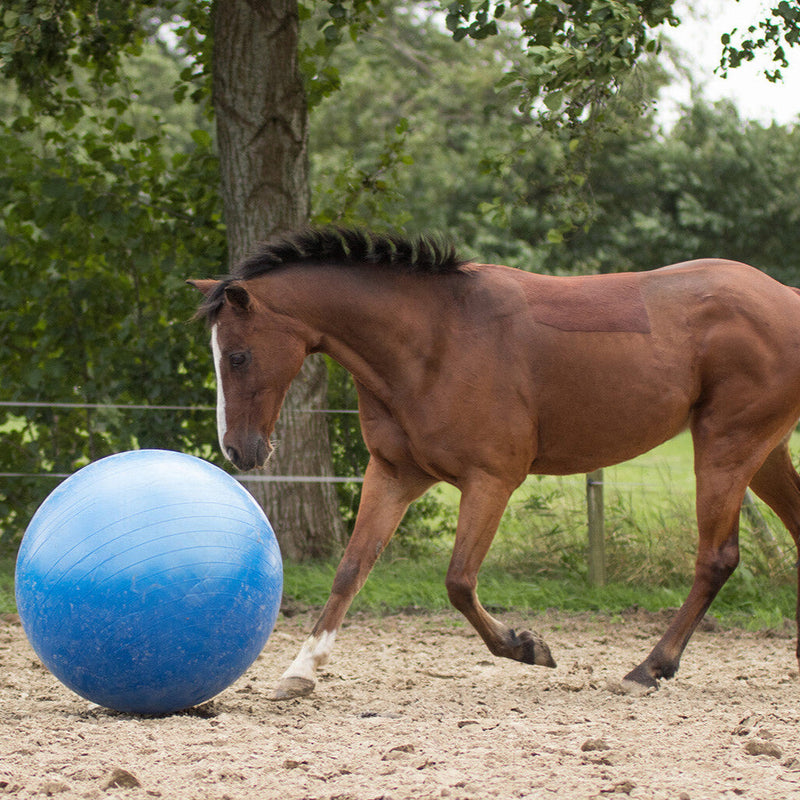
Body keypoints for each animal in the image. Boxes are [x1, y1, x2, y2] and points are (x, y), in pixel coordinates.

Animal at [190, 227, 800, 700]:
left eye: (238, 356)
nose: (239, 451)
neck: (432, 341)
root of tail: (785, 296)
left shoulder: (491, 480)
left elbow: (459, 581)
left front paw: (528, 647)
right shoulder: (393, 475)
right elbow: (350, 570)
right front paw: (301, 671)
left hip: (726, 447)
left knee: (715, 559)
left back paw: (646, 669)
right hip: (763, 453)